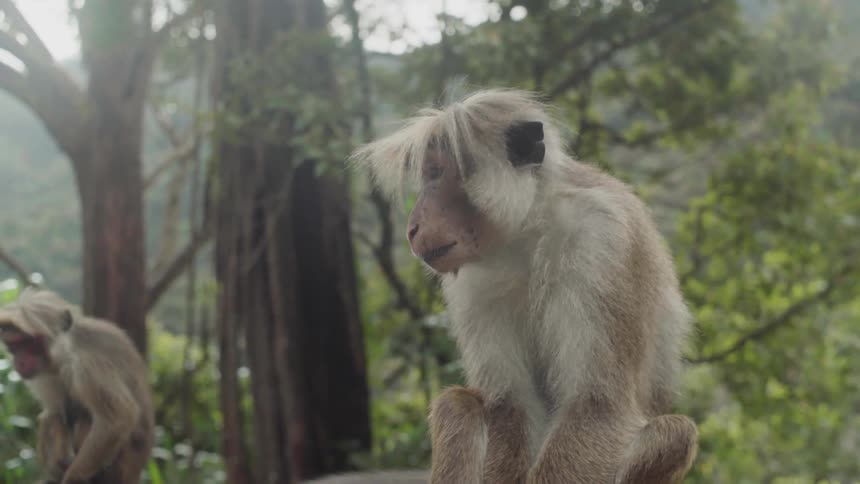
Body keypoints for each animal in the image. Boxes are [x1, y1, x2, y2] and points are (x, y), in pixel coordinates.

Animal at [0, 288, 154, 484]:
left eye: (30, 342)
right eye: (13, 345)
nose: (20, 362)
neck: (65, 353)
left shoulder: (88, 364)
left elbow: (118, 419)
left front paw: (72, 478)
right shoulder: (44, 374)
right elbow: (55, 412)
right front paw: (57, 464)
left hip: (119, 469)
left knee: (86, 417)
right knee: (51, 417)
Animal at [350, 88, 698, 484]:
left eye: (436, 173)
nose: (412, 227)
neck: (529, 230)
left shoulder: (601, 239)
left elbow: (595, 406)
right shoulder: (472, 281)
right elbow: (510, 403)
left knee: (674, 432)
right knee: (458, 404)